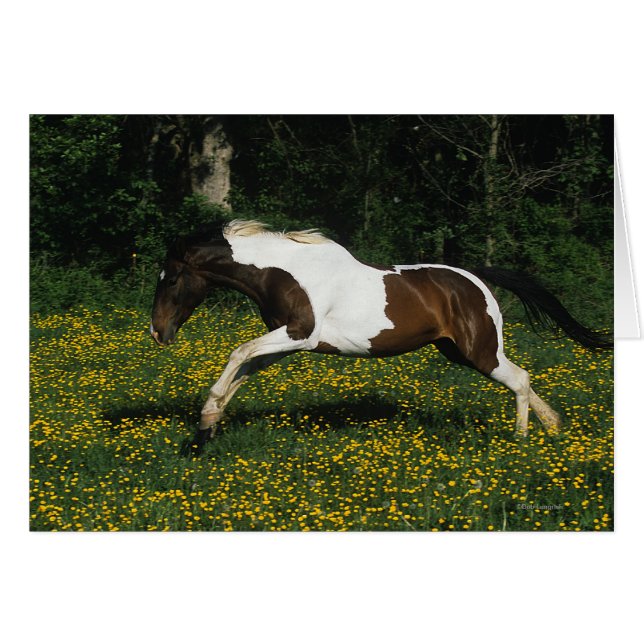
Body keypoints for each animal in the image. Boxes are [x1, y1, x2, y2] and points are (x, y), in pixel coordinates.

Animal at [150, 219, 611, 444]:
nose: (158, 333)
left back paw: (520, 440)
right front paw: (208, 425)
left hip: (479, 352)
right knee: (524, 379)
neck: (284, 271)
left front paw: (206, 420)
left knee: (519, 379)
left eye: (170, 279)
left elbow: (238, 353)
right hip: (458, 351)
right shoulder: (288, 342)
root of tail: (473, 278)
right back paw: (553, 427)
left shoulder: (300, 334)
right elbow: (244, 368)